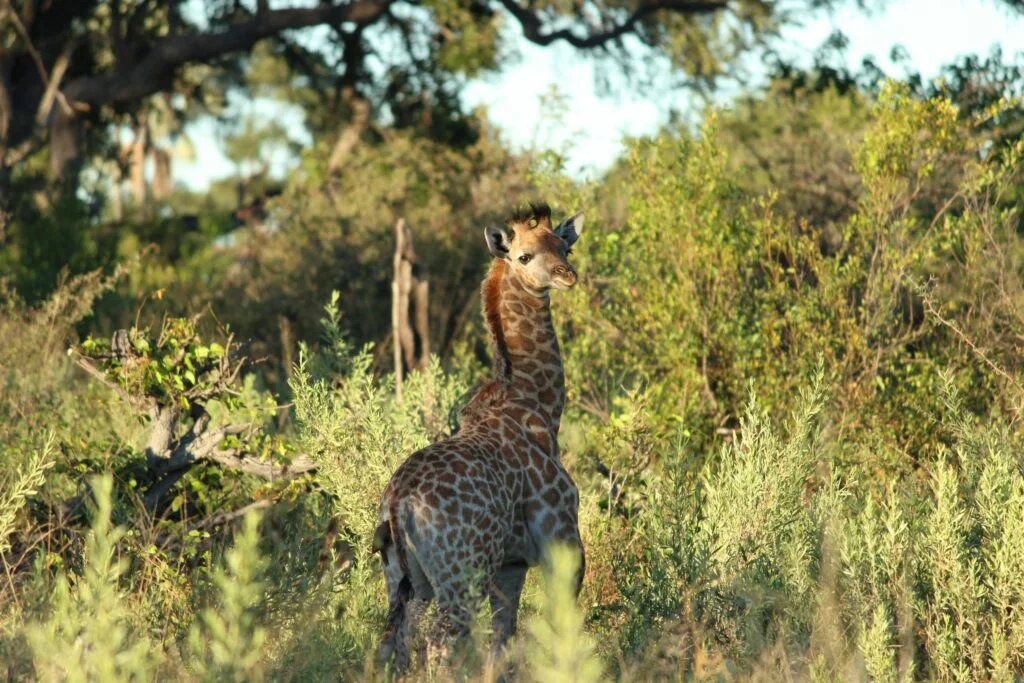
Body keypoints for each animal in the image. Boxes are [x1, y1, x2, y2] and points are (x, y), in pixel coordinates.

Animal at [373, 202, 585, 670]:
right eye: (524, 255)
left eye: (563, 245)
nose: (567, 275)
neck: (538, 405)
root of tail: (398, 505)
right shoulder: (563, 543)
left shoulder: (511, 565)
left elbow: (501, 643)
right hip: (460, 578)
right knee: (439, 644)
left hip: (403, 579)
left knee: (392, 646)